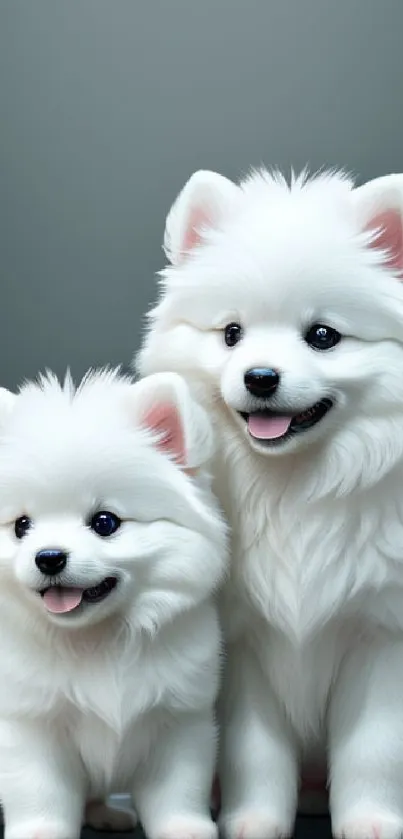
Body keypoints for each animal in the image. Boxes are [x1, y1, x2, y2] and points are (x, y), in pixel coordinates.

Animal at [0, 370, 227, 839]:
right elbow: (40, 795)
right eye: (21, 526)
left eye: (105, 523)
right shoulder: (32, 726)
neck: (97, 640)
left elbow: (178, 792)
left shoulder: (180, 721)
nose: (49, 557)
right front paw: (41, 831)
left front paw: (185, 828)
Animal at [138, 171, 403, 839]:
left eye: (323, 336)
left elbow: (373, 750)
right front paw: (254, 821)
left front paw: (370, 822)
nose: (260, 376)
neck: (295, 489)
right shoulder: (243, 643)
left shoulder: (381, 636)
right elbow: (253, 753)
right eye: (232, 333)